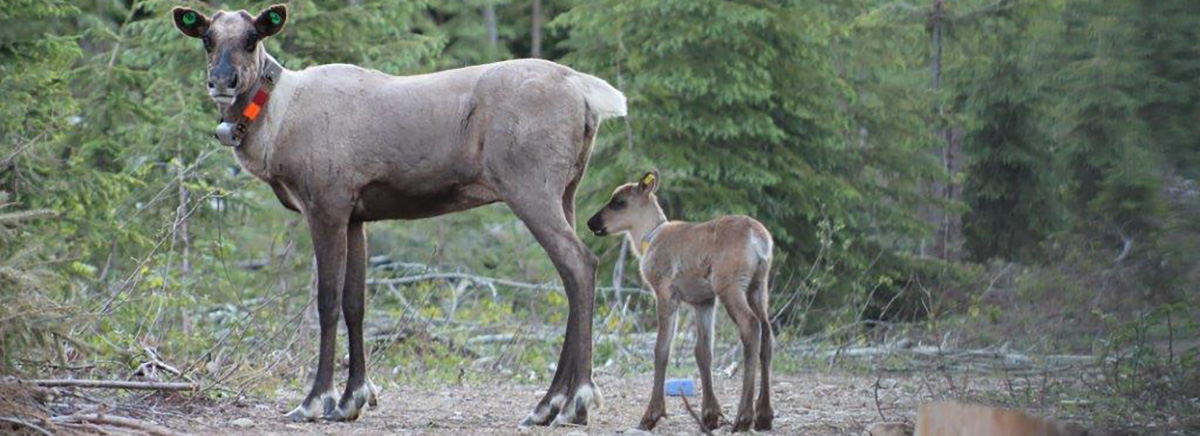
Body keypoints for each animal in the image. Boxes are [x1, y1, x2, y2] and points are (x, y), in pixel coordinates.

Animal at [585, 171, 772, 434]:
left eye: (619, 202)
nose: (591, 222)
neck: (647, 239)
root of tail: (760, 240)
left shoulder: (665, 291)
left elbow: (661, 349)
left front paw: (651, 415)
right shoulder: (703, 301)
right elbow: (703, 352)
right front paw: (710, 415)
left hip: (731, 286)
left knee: (751, 327)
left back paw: (744, 417)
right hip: (758, 286)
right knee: (767, 333)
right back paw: (764, 415)